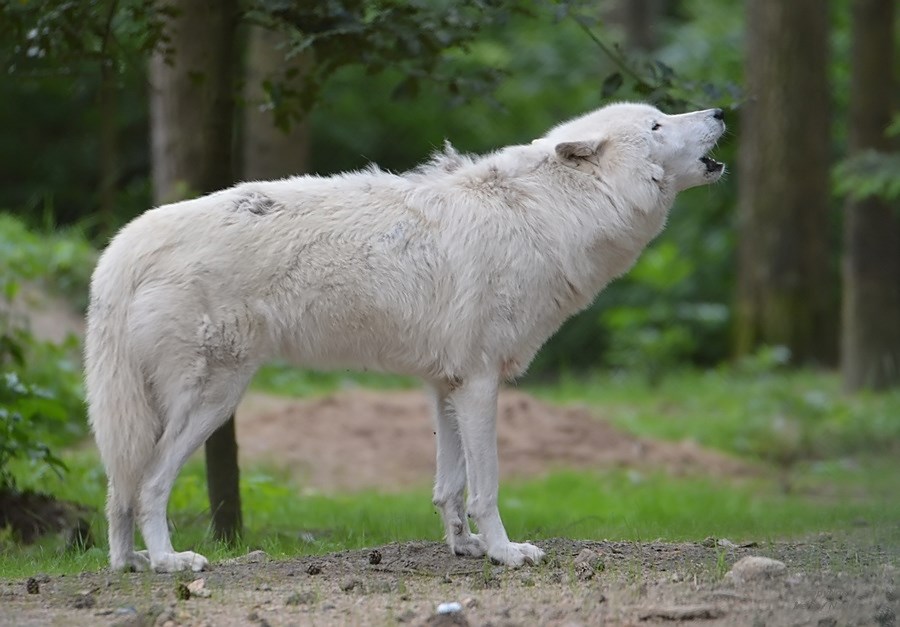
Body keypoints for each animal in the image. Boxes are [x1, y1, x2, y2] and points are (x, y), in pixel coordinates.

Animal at [88, 103, 728, 576]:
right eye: (656, 125)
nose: (721, 110)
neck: (547, 215)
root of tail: (125, 246)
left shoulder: (446, 385)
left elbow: (450, 487)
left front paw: (465, 547)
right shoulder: (481, 383)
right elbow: (486, 487)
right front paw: (505, 552)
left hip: (154, 406)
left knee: (118, 486)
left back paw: (129, 562)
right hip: (213, 400)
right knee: (147, 484)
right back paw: (170, 561)